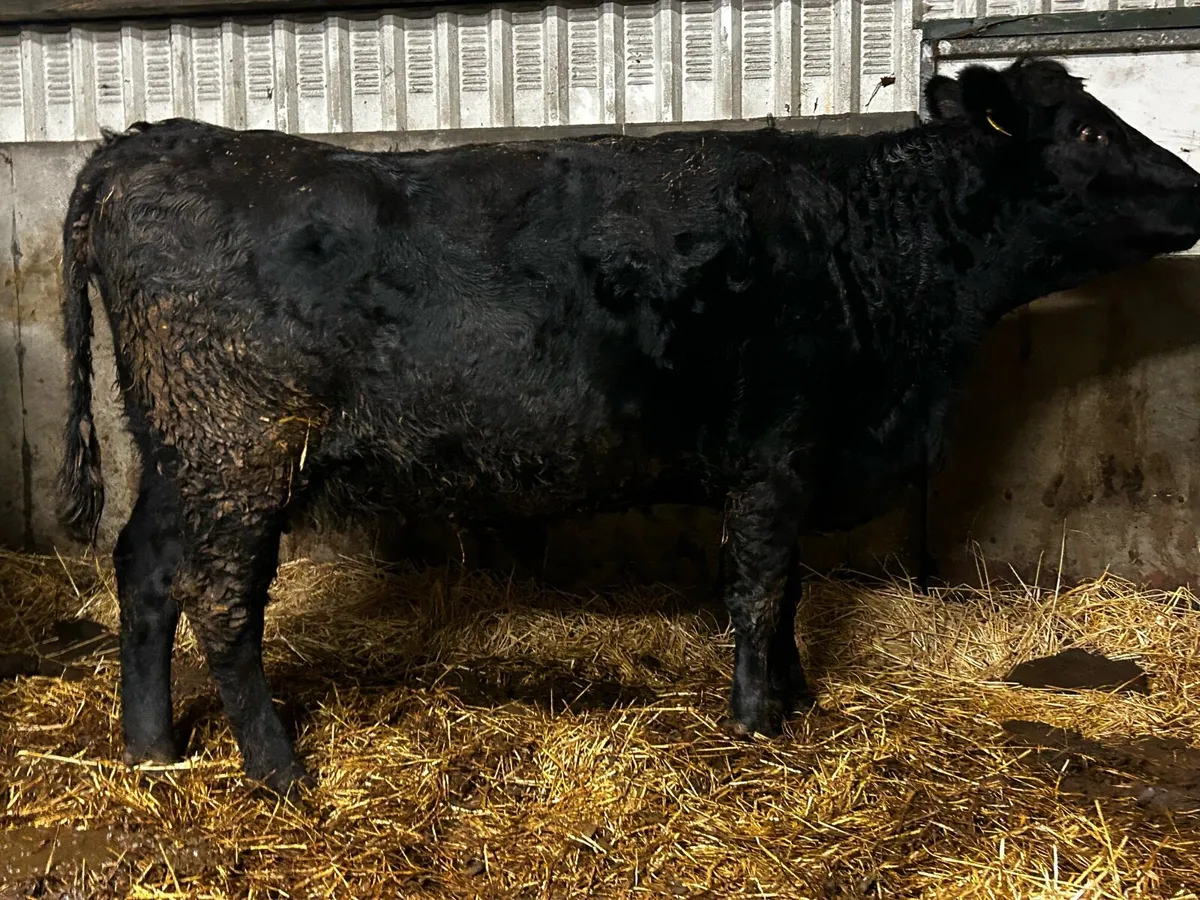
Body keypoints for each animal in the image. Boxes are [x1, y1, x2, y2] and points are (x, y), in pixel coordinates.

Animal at [57, 57, 1200, 798]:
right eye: (1090, 131)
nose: (1194, 185)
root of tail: (144, 145)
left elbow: (782, 594)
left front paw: (794, 696)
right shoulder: (778, 451)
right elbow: (763, 588)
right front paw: (760, 721)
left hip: (181, 452)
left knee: (145, 571)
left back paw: (152, 750)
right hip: (240, 447)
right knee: (221, 604)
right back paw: (279, 770)